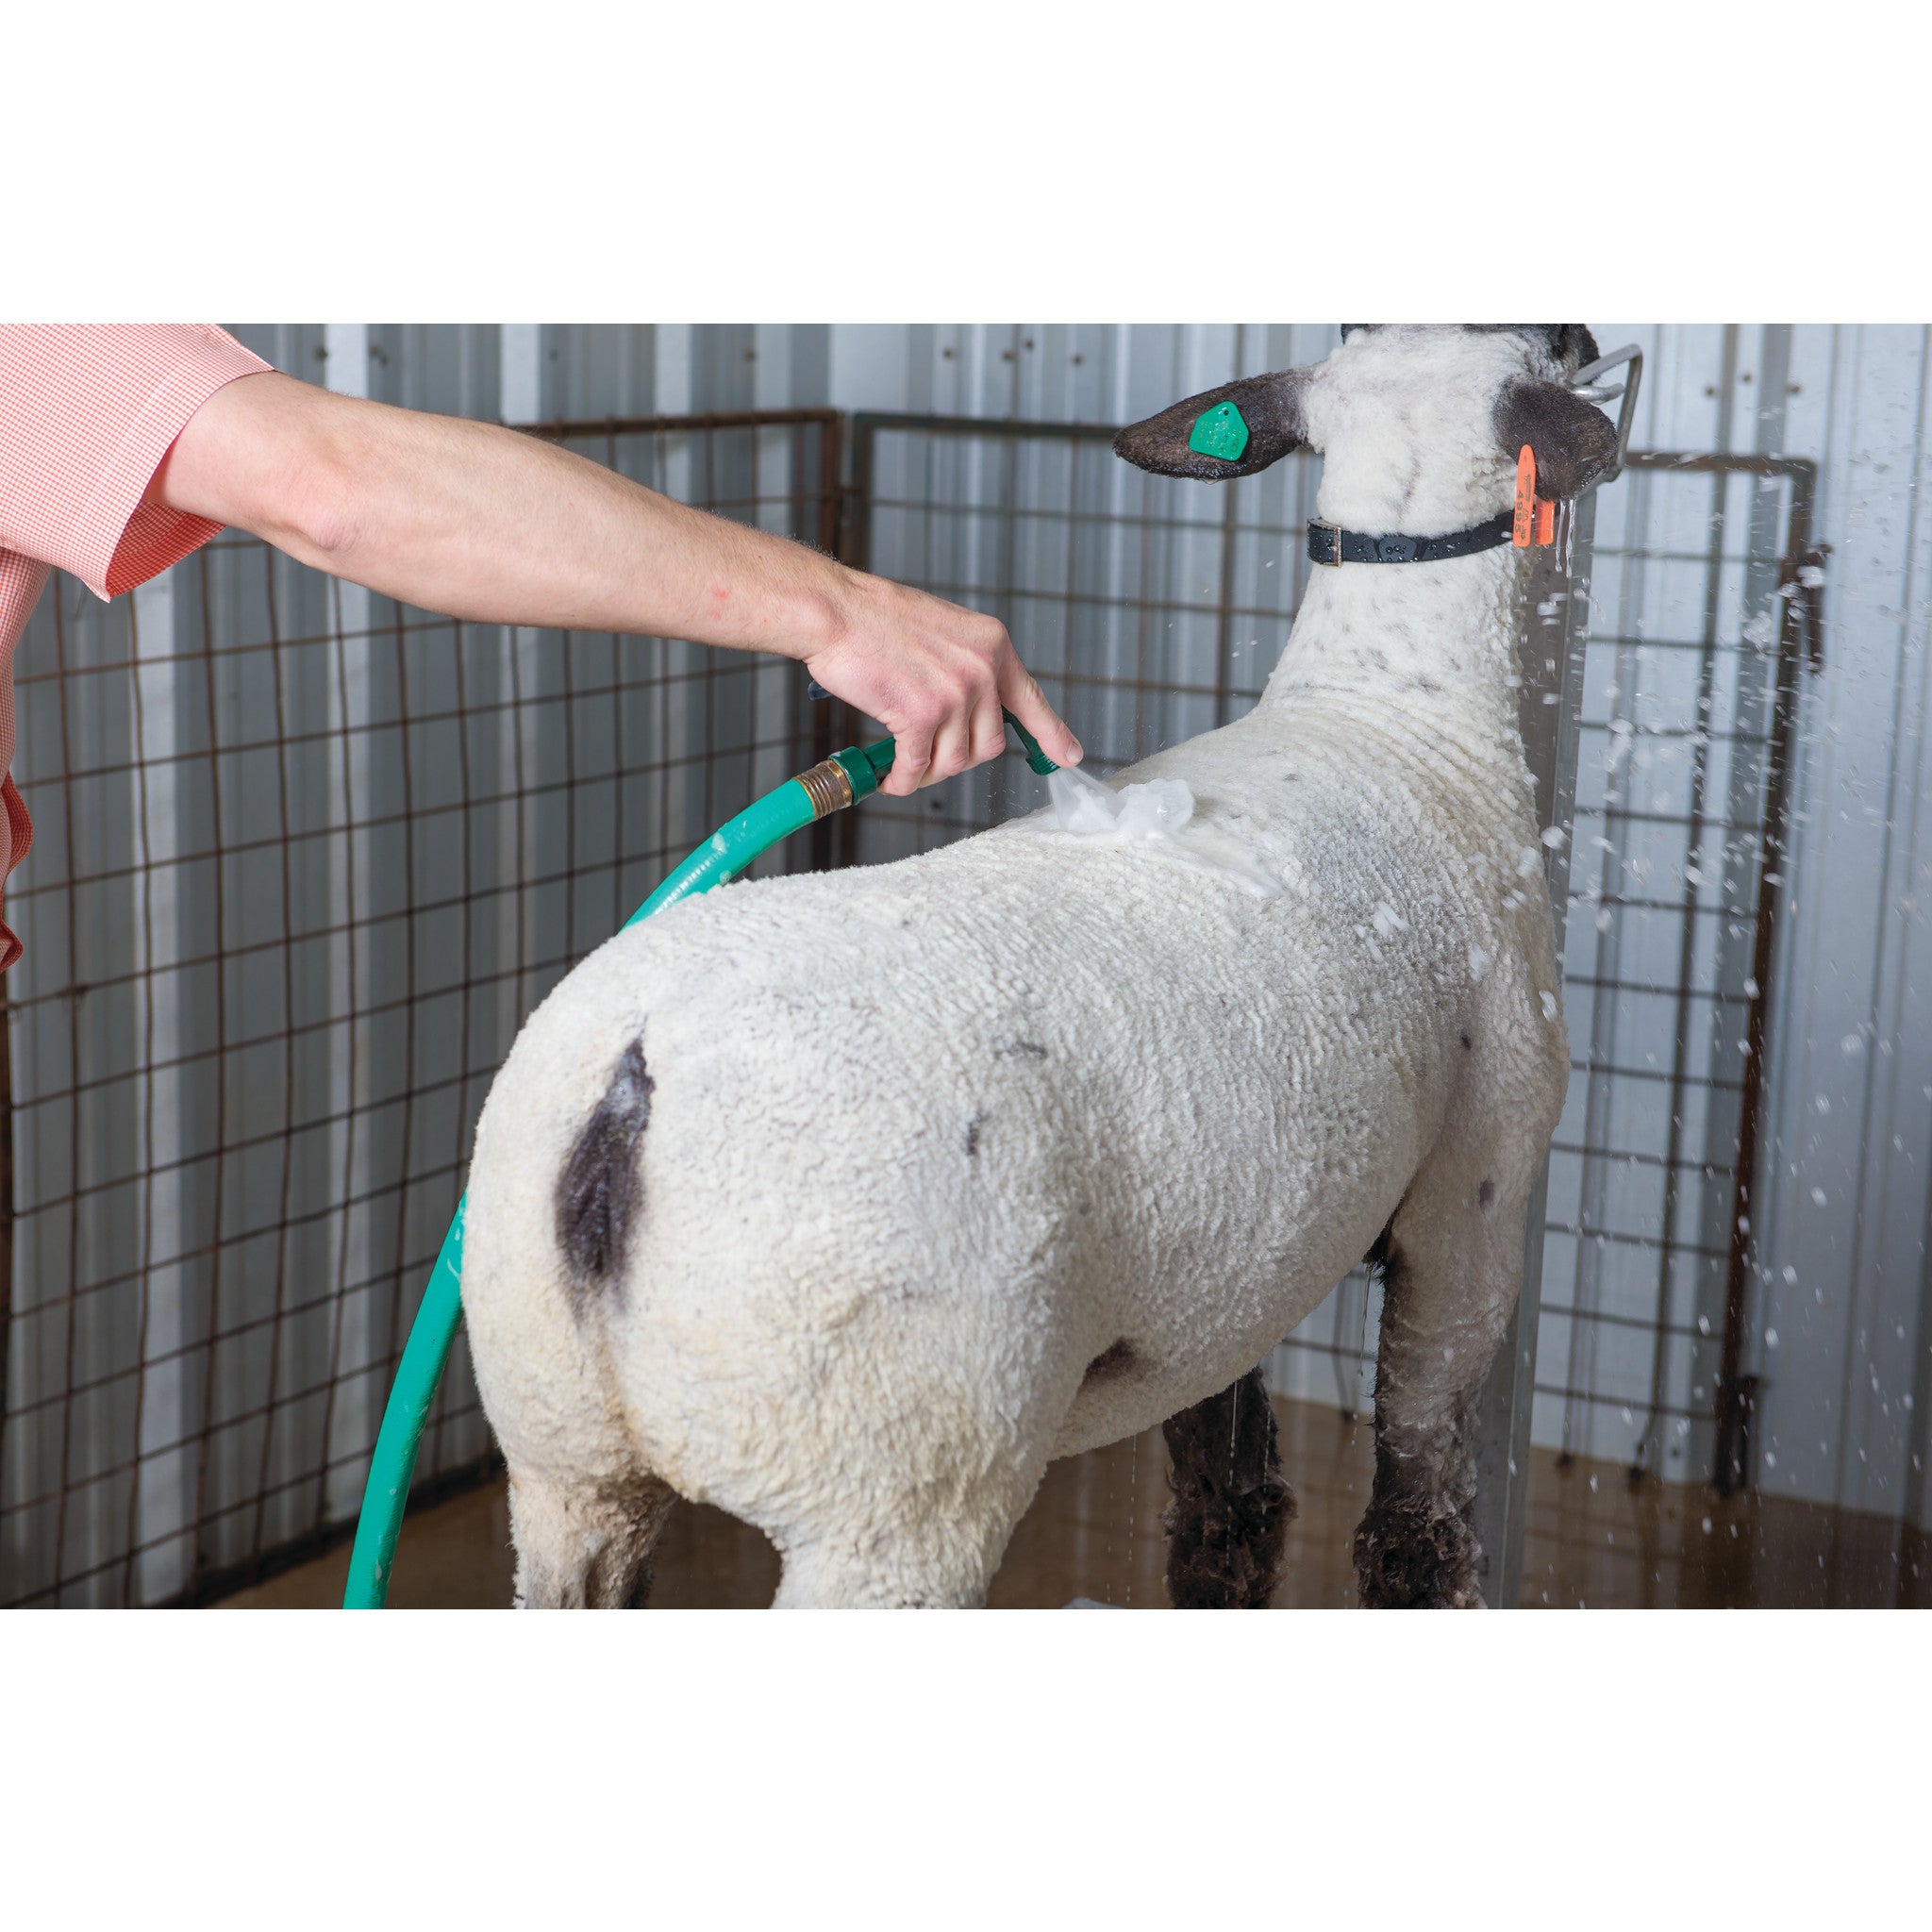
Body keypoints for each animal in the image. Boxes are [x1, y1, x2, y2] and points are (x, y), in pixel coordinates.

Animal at [459, 323, 1616, 1609]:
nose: (1586, 336)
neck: (1394, 710)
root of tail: (628, 1091)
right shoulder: (1475, 1195)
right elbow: (1414, 1523)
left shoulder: (1231, 1278)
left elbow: (1229, 1512)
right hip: (897, 1467)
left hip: (558, 1447)